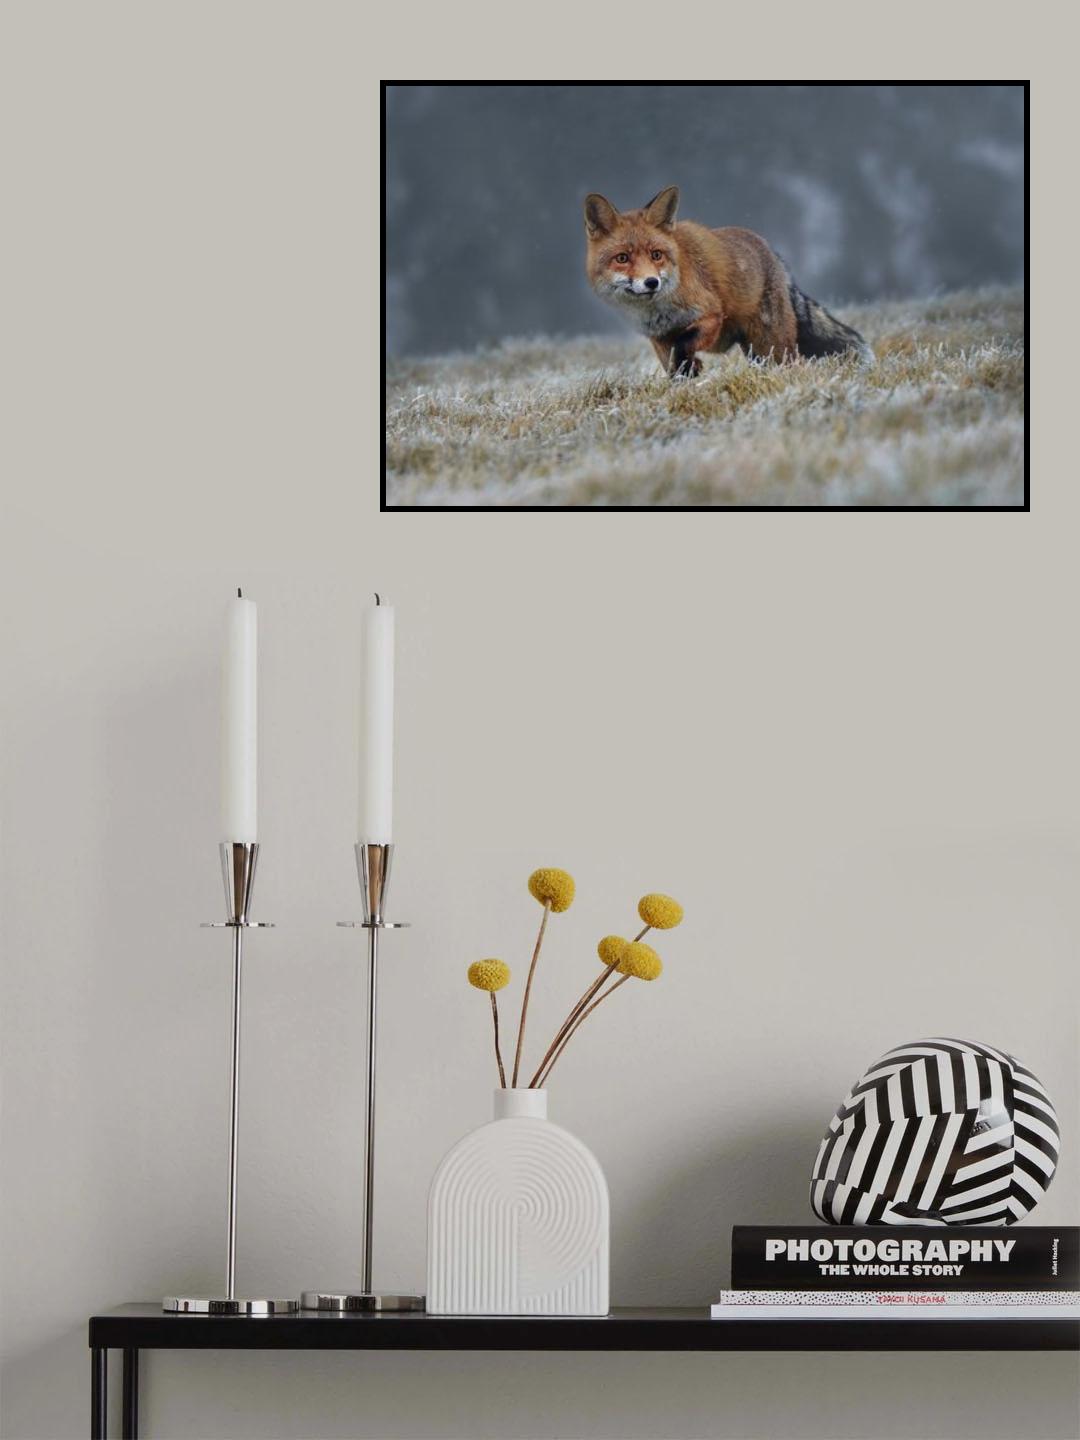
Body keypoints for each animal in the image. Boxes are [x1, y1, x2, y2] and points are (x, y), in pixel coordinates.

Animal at [584, 185, 872, 377]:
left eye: (656, 255)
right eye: (622, 258)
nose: (651, 282)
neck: (660, 311)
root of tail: (774, 255)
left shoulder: (711, 314)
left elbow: (684, 344)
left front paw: (690, 366)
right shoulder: (659, 337)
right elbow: (672, 364)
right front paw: (687, 375)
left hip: (773, 346)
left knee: (794, 363)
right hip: (757, 352)